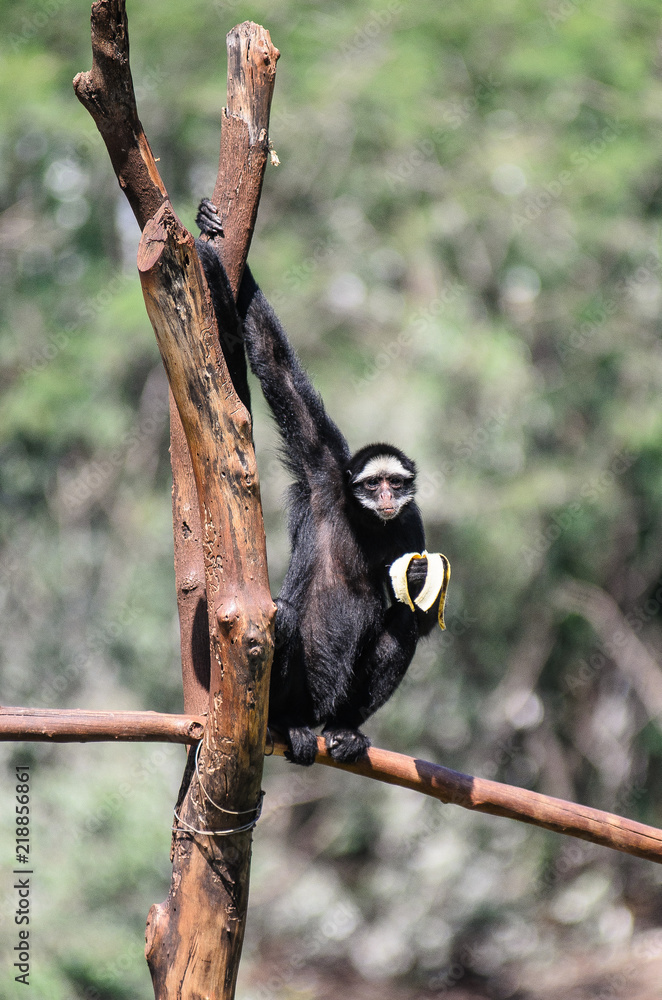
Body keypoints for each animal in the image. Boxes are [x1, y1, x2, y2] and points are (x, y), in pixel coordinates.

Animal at [197, 201, 446, 764]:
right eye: (372, 485)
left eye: (394, 484)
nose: (385, 498)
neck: (368, 523)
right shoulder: (324, 469)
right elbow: (274, 365)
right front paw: (210, 239)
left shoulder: (411, 522)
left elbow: (416, 617)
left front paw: (421, 578)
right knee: (282, 618)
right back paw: (287, 724)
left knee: (399, 626)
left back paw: (345, 728)